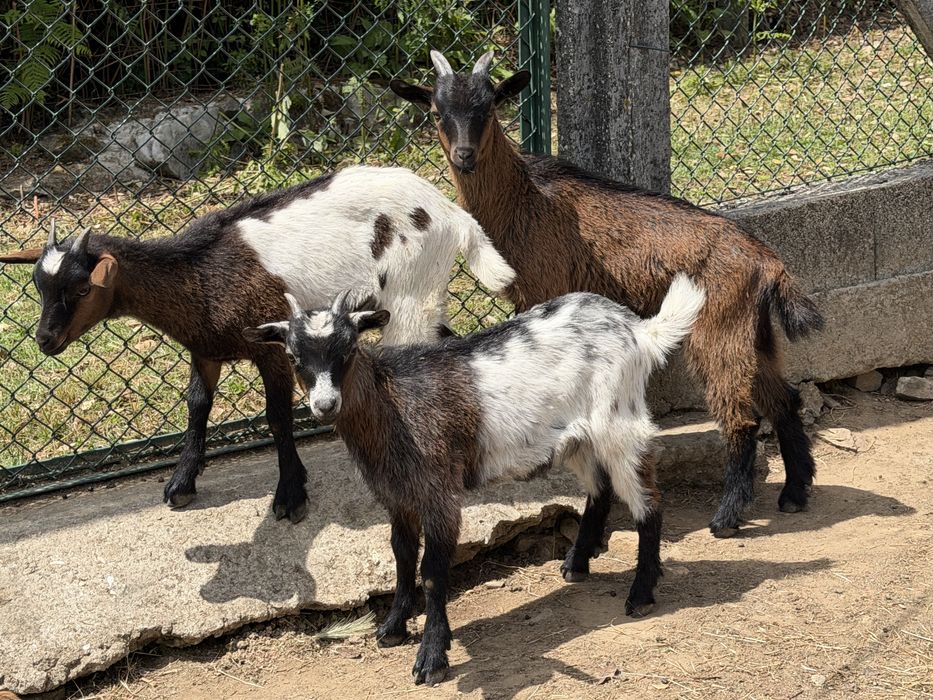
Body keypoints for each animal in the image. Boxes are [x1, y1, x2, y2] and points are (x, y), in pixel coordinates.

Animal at [0, 166, 514, 522]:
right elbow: (197, 406)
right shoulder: (205, 350)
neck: (200, 276)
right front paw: (181, 484)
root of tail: (452, 213)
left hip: (410, 293)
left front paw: (290, 495)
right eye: (39, 286)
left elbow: (277, 415)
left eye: (81, 289)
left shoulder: (272, 348)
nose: (45, 340)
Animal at [244, 274, 705, 684]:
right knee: (601, 488)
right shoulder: (398, 496)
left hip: (620, 422)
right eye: (294, 357)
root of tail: (640, 331)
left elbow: (432, 570)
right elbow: (401, 556)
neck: (393, 404)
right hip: (580, 438)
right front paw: (392, 628)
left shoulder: (440, 492)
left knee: (648, 501)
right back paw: (577, 563)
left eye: (349, 349)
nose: (324, 405)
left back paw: (640, 594)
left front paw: (431, 658)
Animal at [391, 51, 825, 538]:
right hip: (756, 333)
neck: (526, 199)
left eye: (489, 107)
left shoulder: (544, 292)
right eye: (436, 112)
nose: (464, 155)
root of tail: (766, 260)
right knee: (785, 400)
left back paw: (726, 517)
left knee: (743, 417)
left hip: (717, 330)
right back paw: (794, 493)